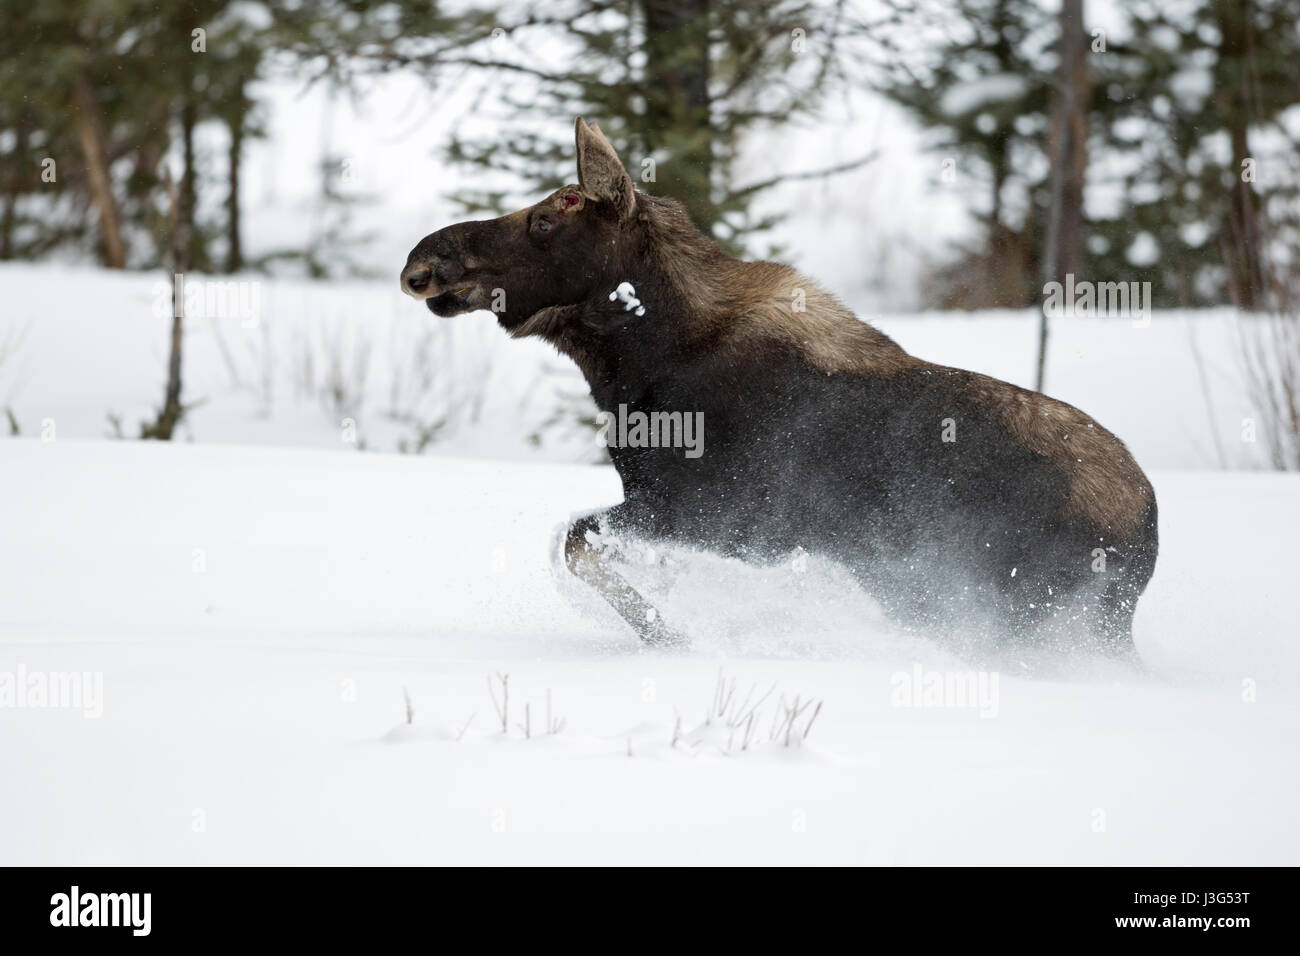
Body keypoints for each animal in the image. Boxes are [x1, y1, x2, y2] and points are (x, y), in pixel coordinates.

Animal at [397, 117, 1159, 658]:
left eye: (547, 217)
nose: (424, 258)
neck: (637, 365)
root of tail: (1148, 529)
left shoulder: (731, 518)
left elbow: (576, 541)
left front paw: (672, 634)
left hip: (1008, 606)